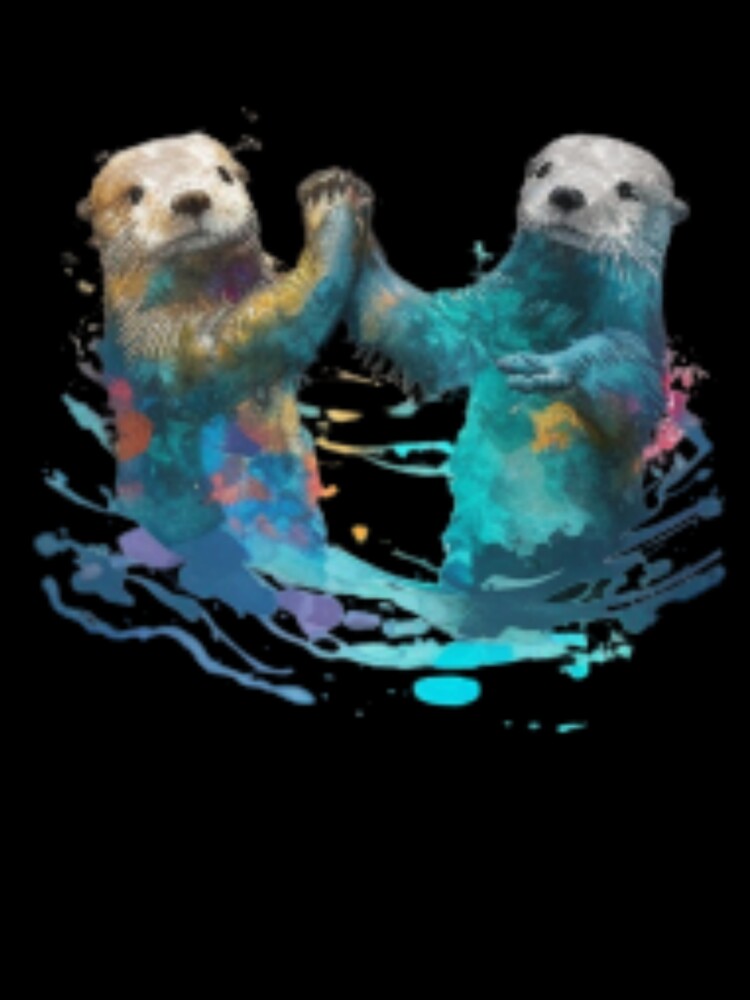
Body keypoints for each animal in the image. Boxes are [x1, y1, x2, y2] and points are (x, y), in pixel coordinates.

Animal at [79, 133, 371, 592]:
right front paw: (329, 199)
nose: (191, 198)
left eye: (222, 173)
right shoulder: (161, 344)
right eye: (134, 193)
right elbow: (262, 330)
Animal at [347, 135, 688, 587]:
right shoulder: (486, 313)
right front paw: (354, 236)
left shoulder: (641, 342)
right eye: (545, 169)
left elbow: (631, 387)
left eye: (627, 190)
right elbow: (431, 339)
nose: (567, 194)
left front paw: (554, 368)